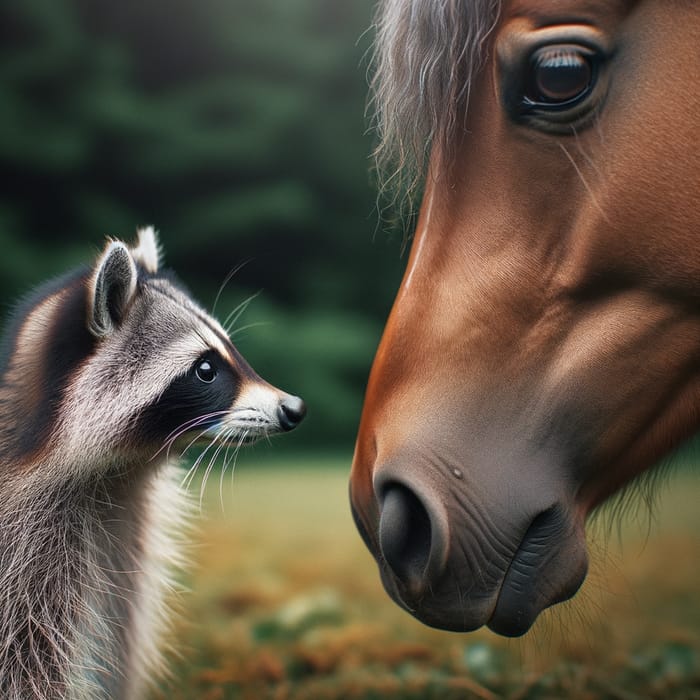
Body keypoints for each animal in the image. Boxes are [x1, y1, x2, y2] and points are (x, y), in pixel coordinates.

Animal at [0, 227, 304, 696]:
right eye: (205, 369)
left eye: (230, 351)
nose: (294, 408)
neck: (120, 475)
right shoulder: (31, 558)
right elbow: (29, 662)